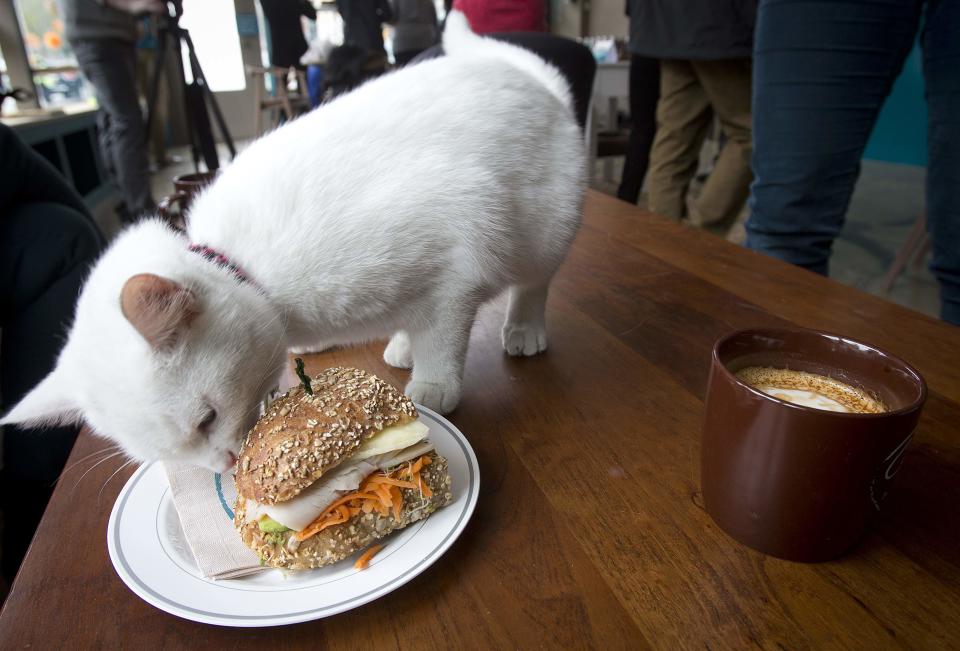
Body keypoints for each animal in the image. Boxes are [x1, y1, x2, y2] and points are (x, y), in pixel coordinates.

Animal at [0, 12, 584, 472]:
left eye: (206, 419)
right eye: (169, 456)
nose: (224, 465)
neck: (252, 274)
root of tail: (538, 82)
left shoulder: (456, 249)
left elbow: (444, 336)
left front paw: (436, 386)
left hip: (545, 231)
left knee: (534, 284)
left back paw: (521, 329)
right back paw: (399, 344)